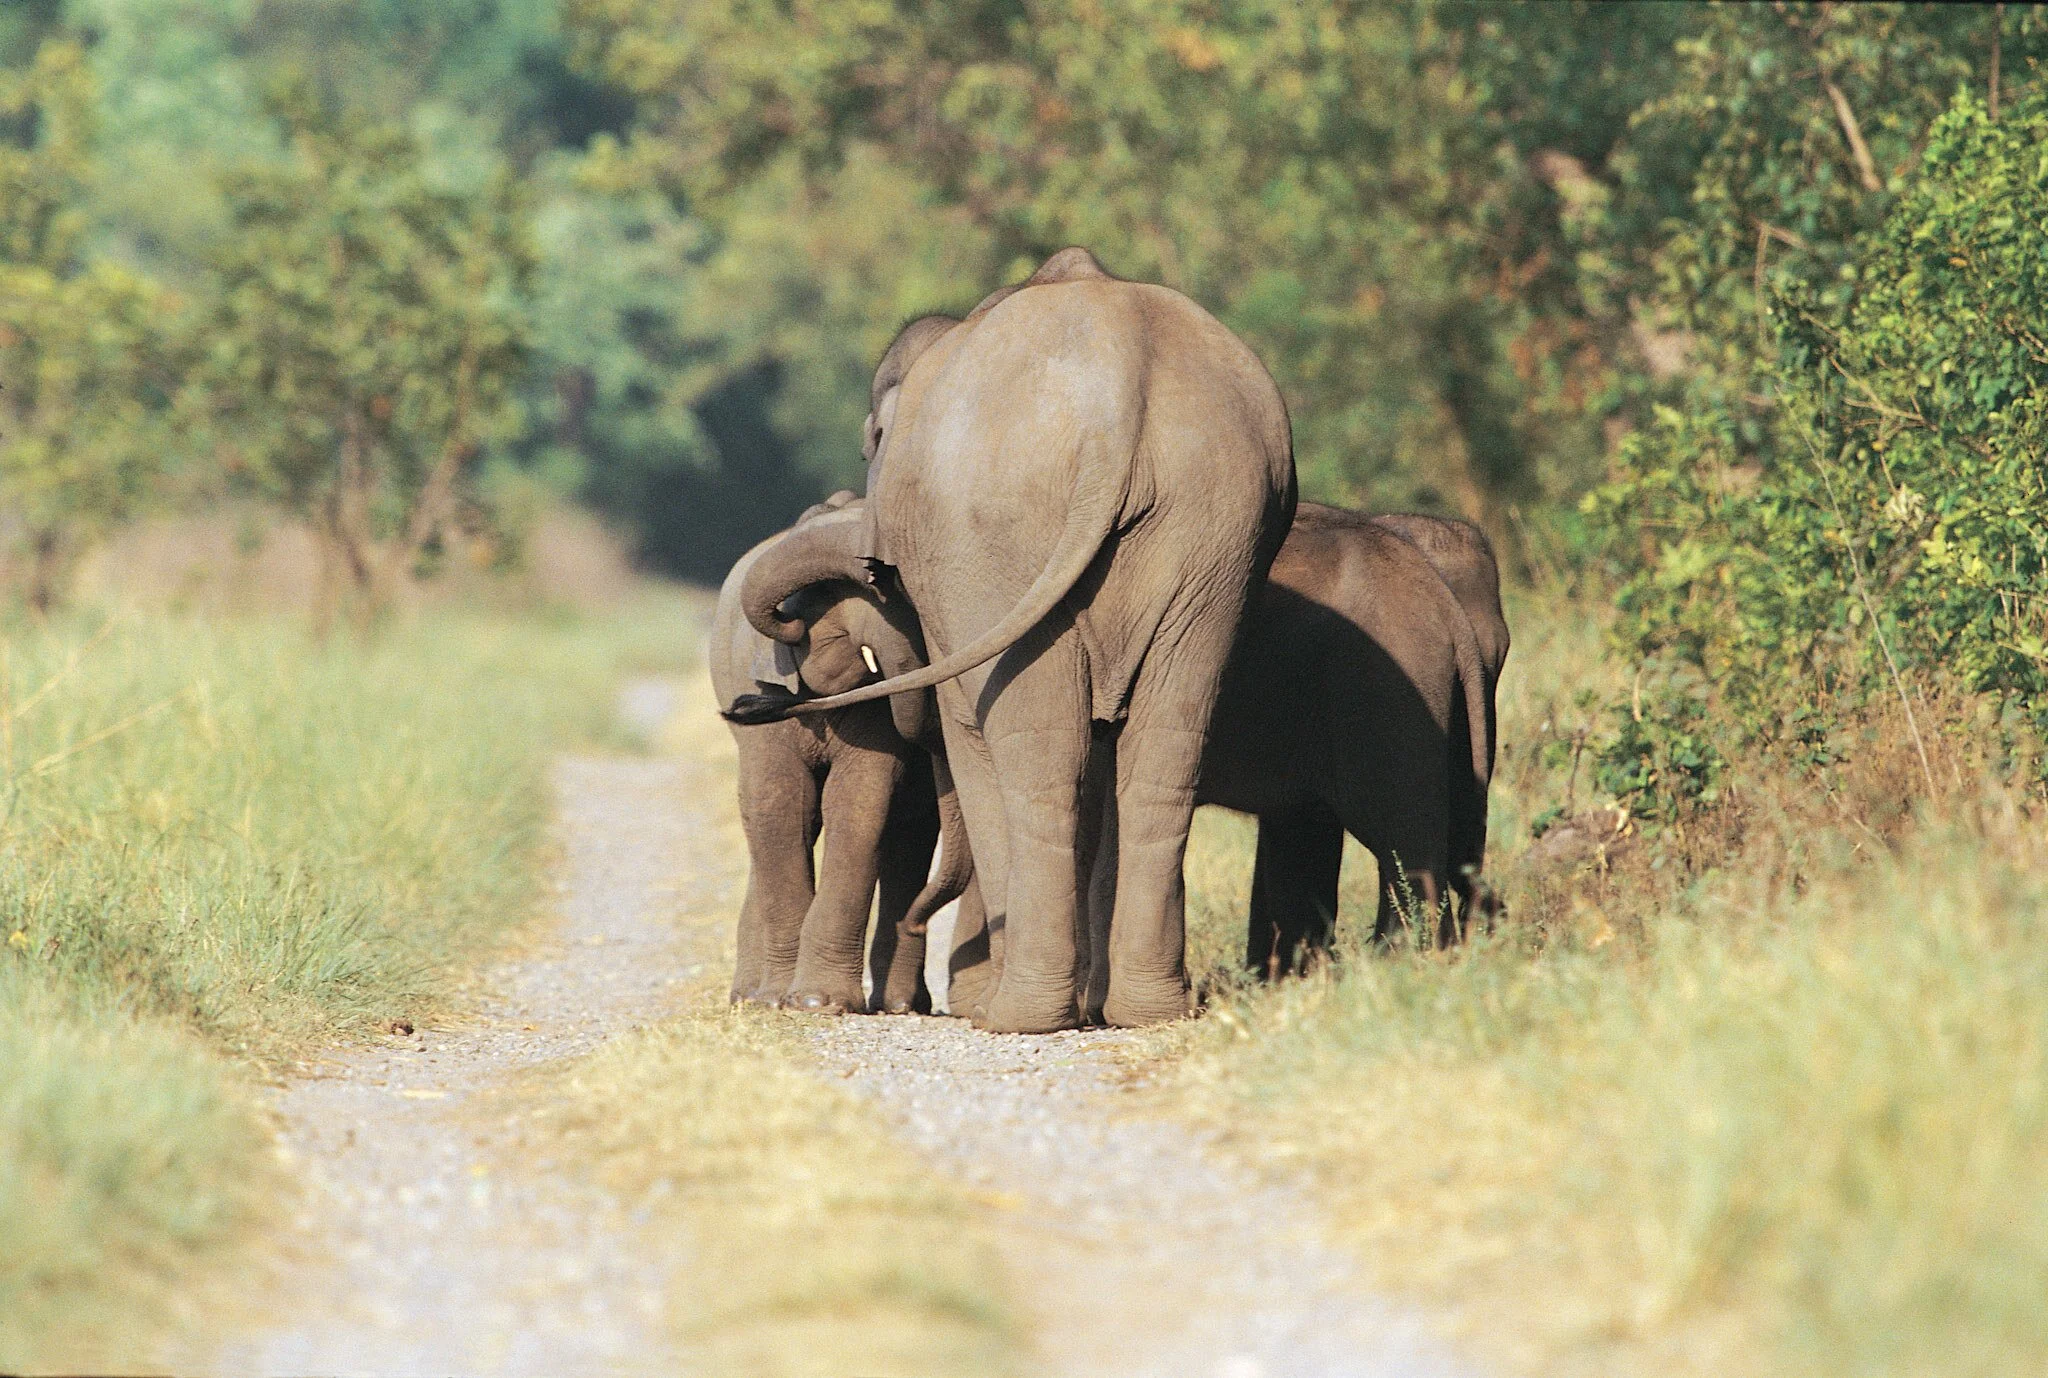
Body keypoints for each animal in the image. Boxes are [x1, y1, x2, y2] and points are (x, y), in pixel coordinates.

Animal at [709, 494, 944, 1014]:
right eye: (838, 589)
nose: (744, 708)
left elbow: (859, 803)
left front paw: (819, 1002)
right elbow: (778, 804)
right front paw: (780, 1000)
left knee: (910, 834)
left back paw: (901, 1005)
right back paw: (749, 997)